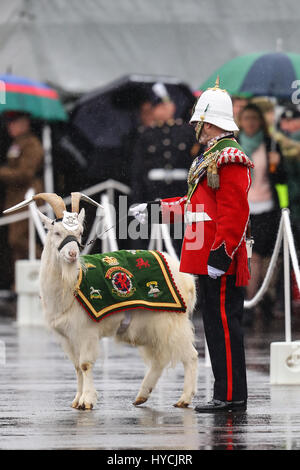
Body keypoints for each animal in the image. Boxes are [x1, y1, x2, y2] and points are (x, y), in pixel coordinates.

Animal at [4, 193, 198, 410]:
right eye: (57, 232)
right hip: (149, 326)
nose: (72, 254)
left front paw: (87, 401)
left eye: (80, 233)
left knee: (190, 355)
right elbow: (76, 366)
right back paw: (141, 396)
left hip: (171, 321)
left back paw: (184, 399)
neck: (71, 284)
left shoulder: (85, 332)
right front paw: (76, 400)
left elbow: (85, 364)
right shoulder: (68, 337)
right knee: (159, 359)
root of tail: (187, 279)